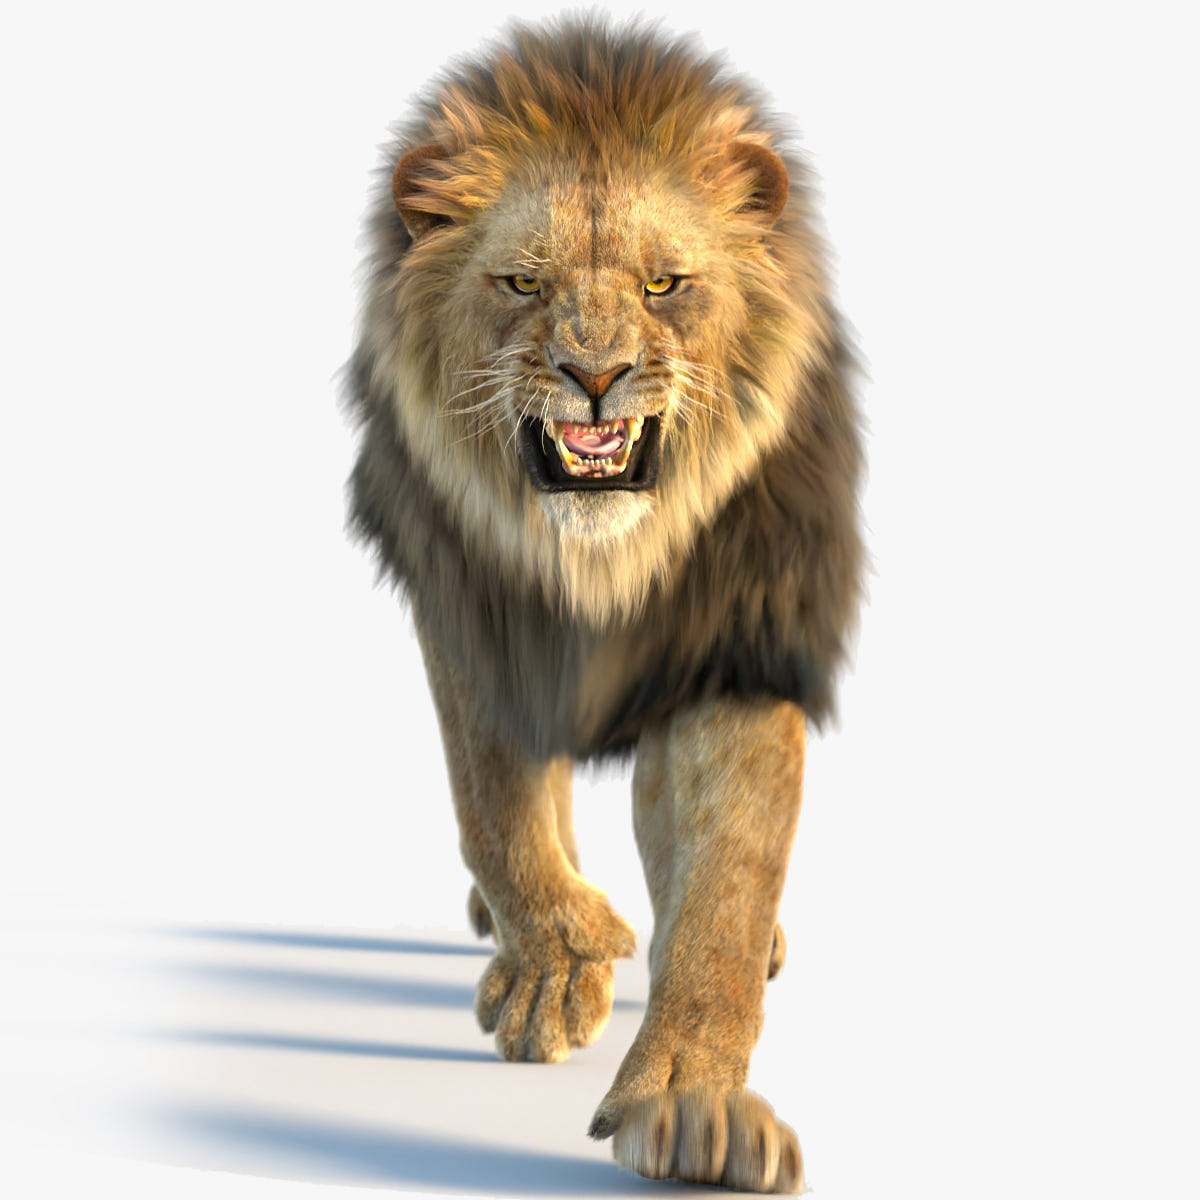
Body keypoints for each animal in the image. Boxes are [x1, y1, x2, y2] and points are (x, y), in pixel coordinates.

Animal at [345, 17, 863, 1193]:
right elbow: (495, 802)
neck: (599, 561)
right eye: (522, 283)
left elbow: (728, 882)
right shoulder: (473, 605)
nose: (595, 374)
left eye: (666, 283)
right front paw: (555, 960)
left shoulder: (737, 636)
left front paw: (692, 1106)